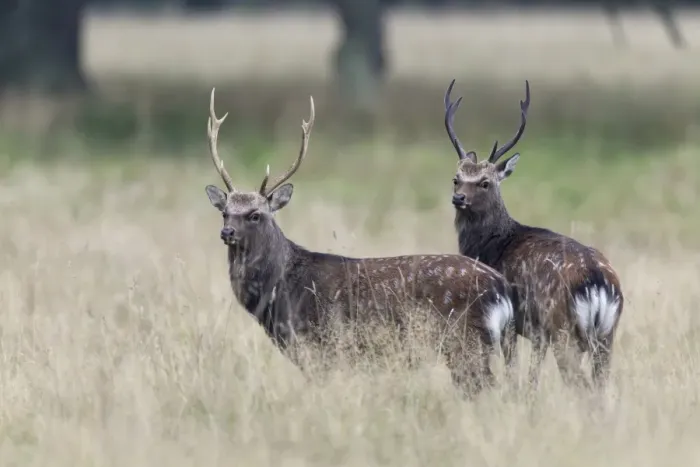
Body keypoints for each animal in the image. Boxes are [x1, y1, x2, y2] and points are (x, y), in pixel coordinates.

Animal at [202, 88, 518, 395]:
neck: (282, 292)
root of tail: (501, 288)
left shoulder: (320, 345)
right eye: (225, 212)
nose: (227, 233)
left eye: (255, 215)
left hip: (466, 340)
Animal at [442, 79, 624, 392]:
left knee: (580, 383)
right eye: (456, 178)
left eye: (485, 182)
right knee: (601, 383)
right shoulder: (538, 334)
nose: (459, 198)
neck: (492, 246)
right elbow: (532, 375)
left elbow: (512, 370)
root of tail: (598, 281)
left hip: (562, 326)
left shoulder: (512, 324)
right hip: (606, 335)